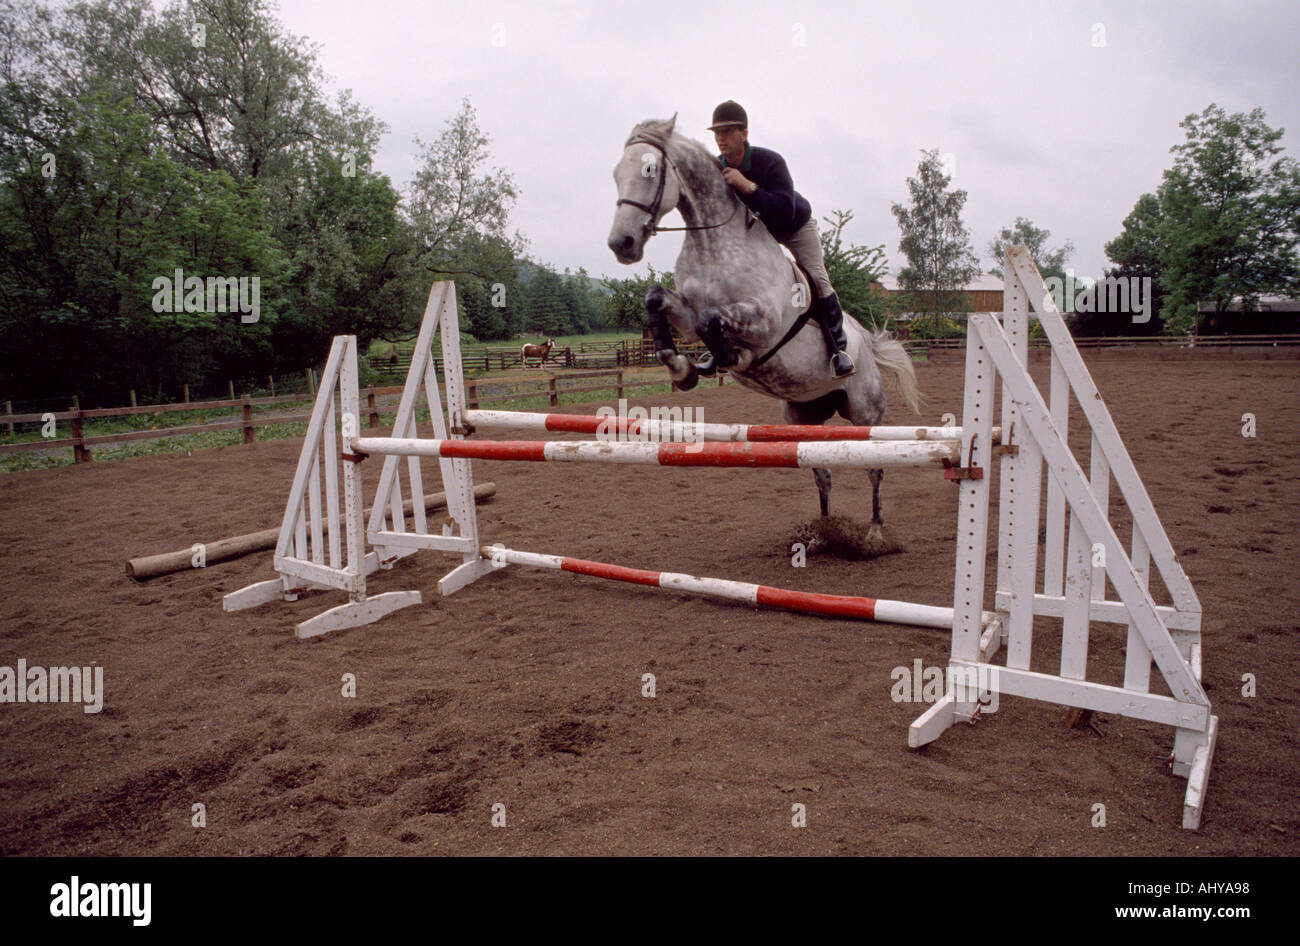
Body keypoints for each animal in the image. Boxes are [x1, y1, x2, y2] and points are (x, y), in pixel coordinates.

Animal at [608, 114, 925, 535]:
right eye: (616, 174)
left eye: (649, 170)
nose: (621, 244)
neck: (713, 247)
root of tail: (866, 345)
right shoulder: (687, 317)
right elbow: (658, 300)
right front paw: (682, 369)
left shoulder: (765, 322)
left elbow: (714, 322)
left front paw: (728, 358)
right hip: (803, 417)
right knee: (821, 471)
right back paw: (824, 532)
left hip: (864, 413)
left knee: (874, 467)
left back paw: (874, 529)